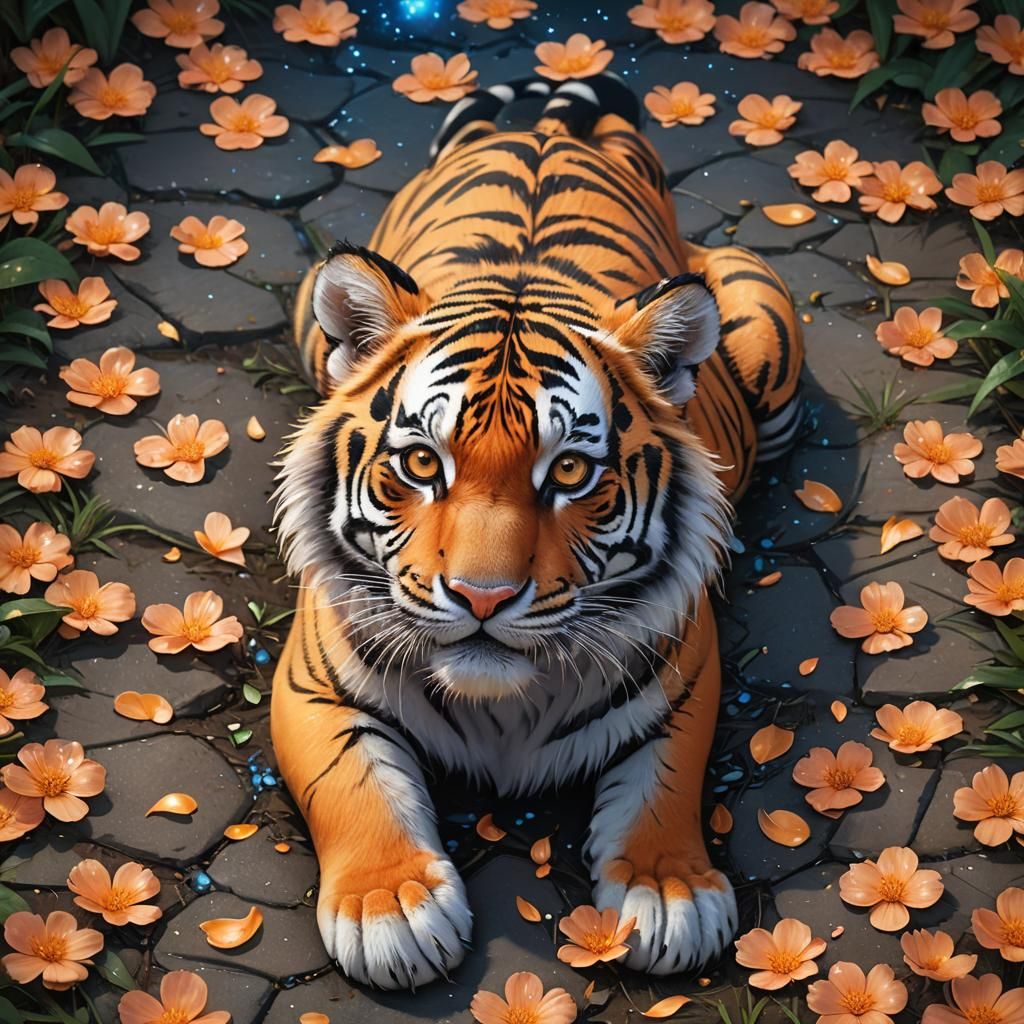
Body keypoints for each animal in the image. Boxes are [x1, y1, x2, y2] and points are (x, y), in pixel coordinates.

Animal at [271, 74, 803, 991]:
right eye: (422, 463)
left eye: (569, 473)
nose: (482, 597)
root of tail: (550, 124)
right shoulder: (312, 682)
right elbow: (352, 781)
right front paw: (392, 908)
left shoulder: (686, 676)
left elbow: (665, 782)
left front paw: (665, 891)